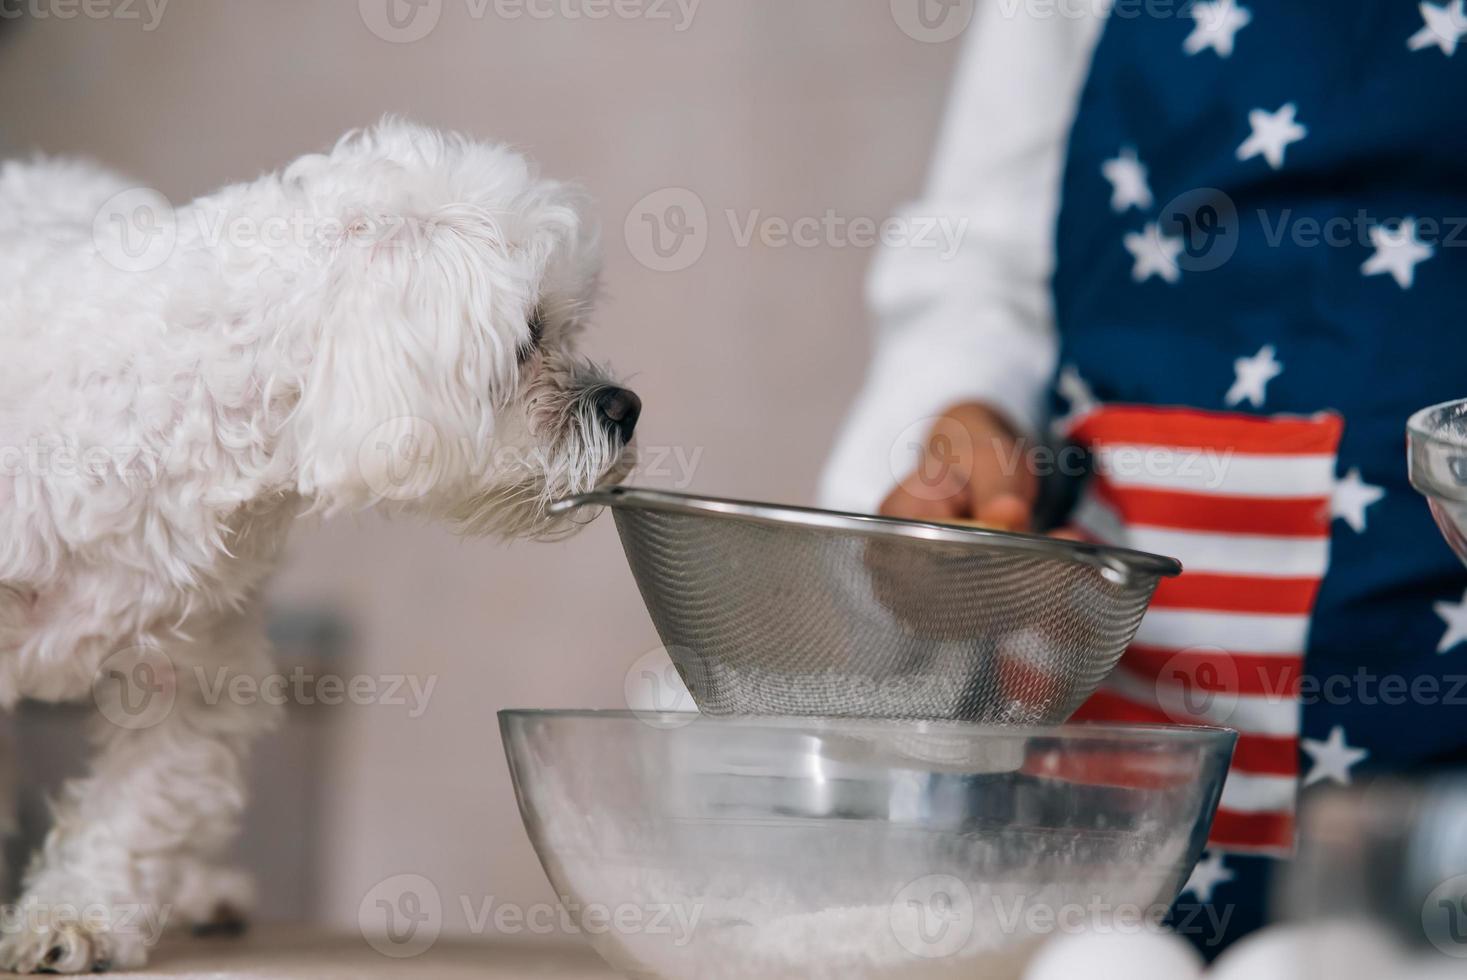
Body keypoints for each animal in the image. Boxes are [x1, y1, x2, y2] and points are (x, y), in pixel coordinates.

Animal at [0, 118, 636, 968]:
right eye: (527, 336)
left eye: (568, 325)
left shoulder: (194, 671)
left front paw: (79, 918)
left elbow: (136, 812)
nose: (627, 407)